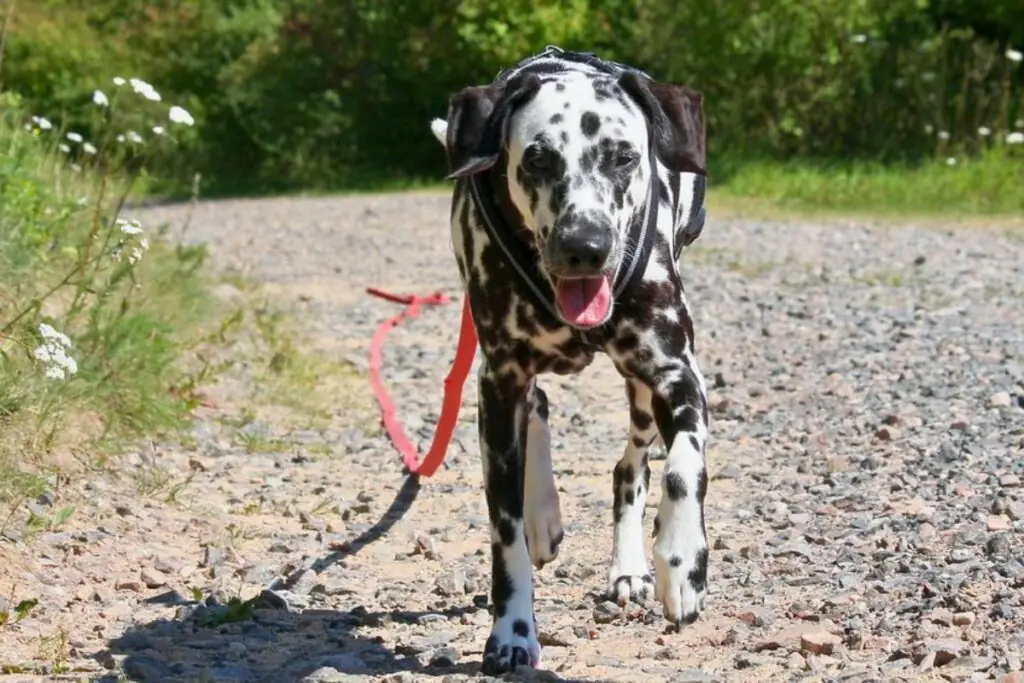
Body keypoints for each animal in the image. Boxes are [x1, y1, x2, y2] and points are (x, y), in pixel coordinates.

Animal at [428, 46, 708, 671]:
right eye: (537, 159)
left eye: (625, 156)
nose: (585, 246)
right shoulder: (498, 384)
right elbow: (504, 530)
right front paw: (511, 630)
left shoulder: (676, 374)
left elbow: (685, 466)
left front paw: (682, 561)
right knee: (540, 408)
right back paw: (544, 516)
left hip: (640, 392)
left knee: (632, 467)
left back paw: (630, 566)